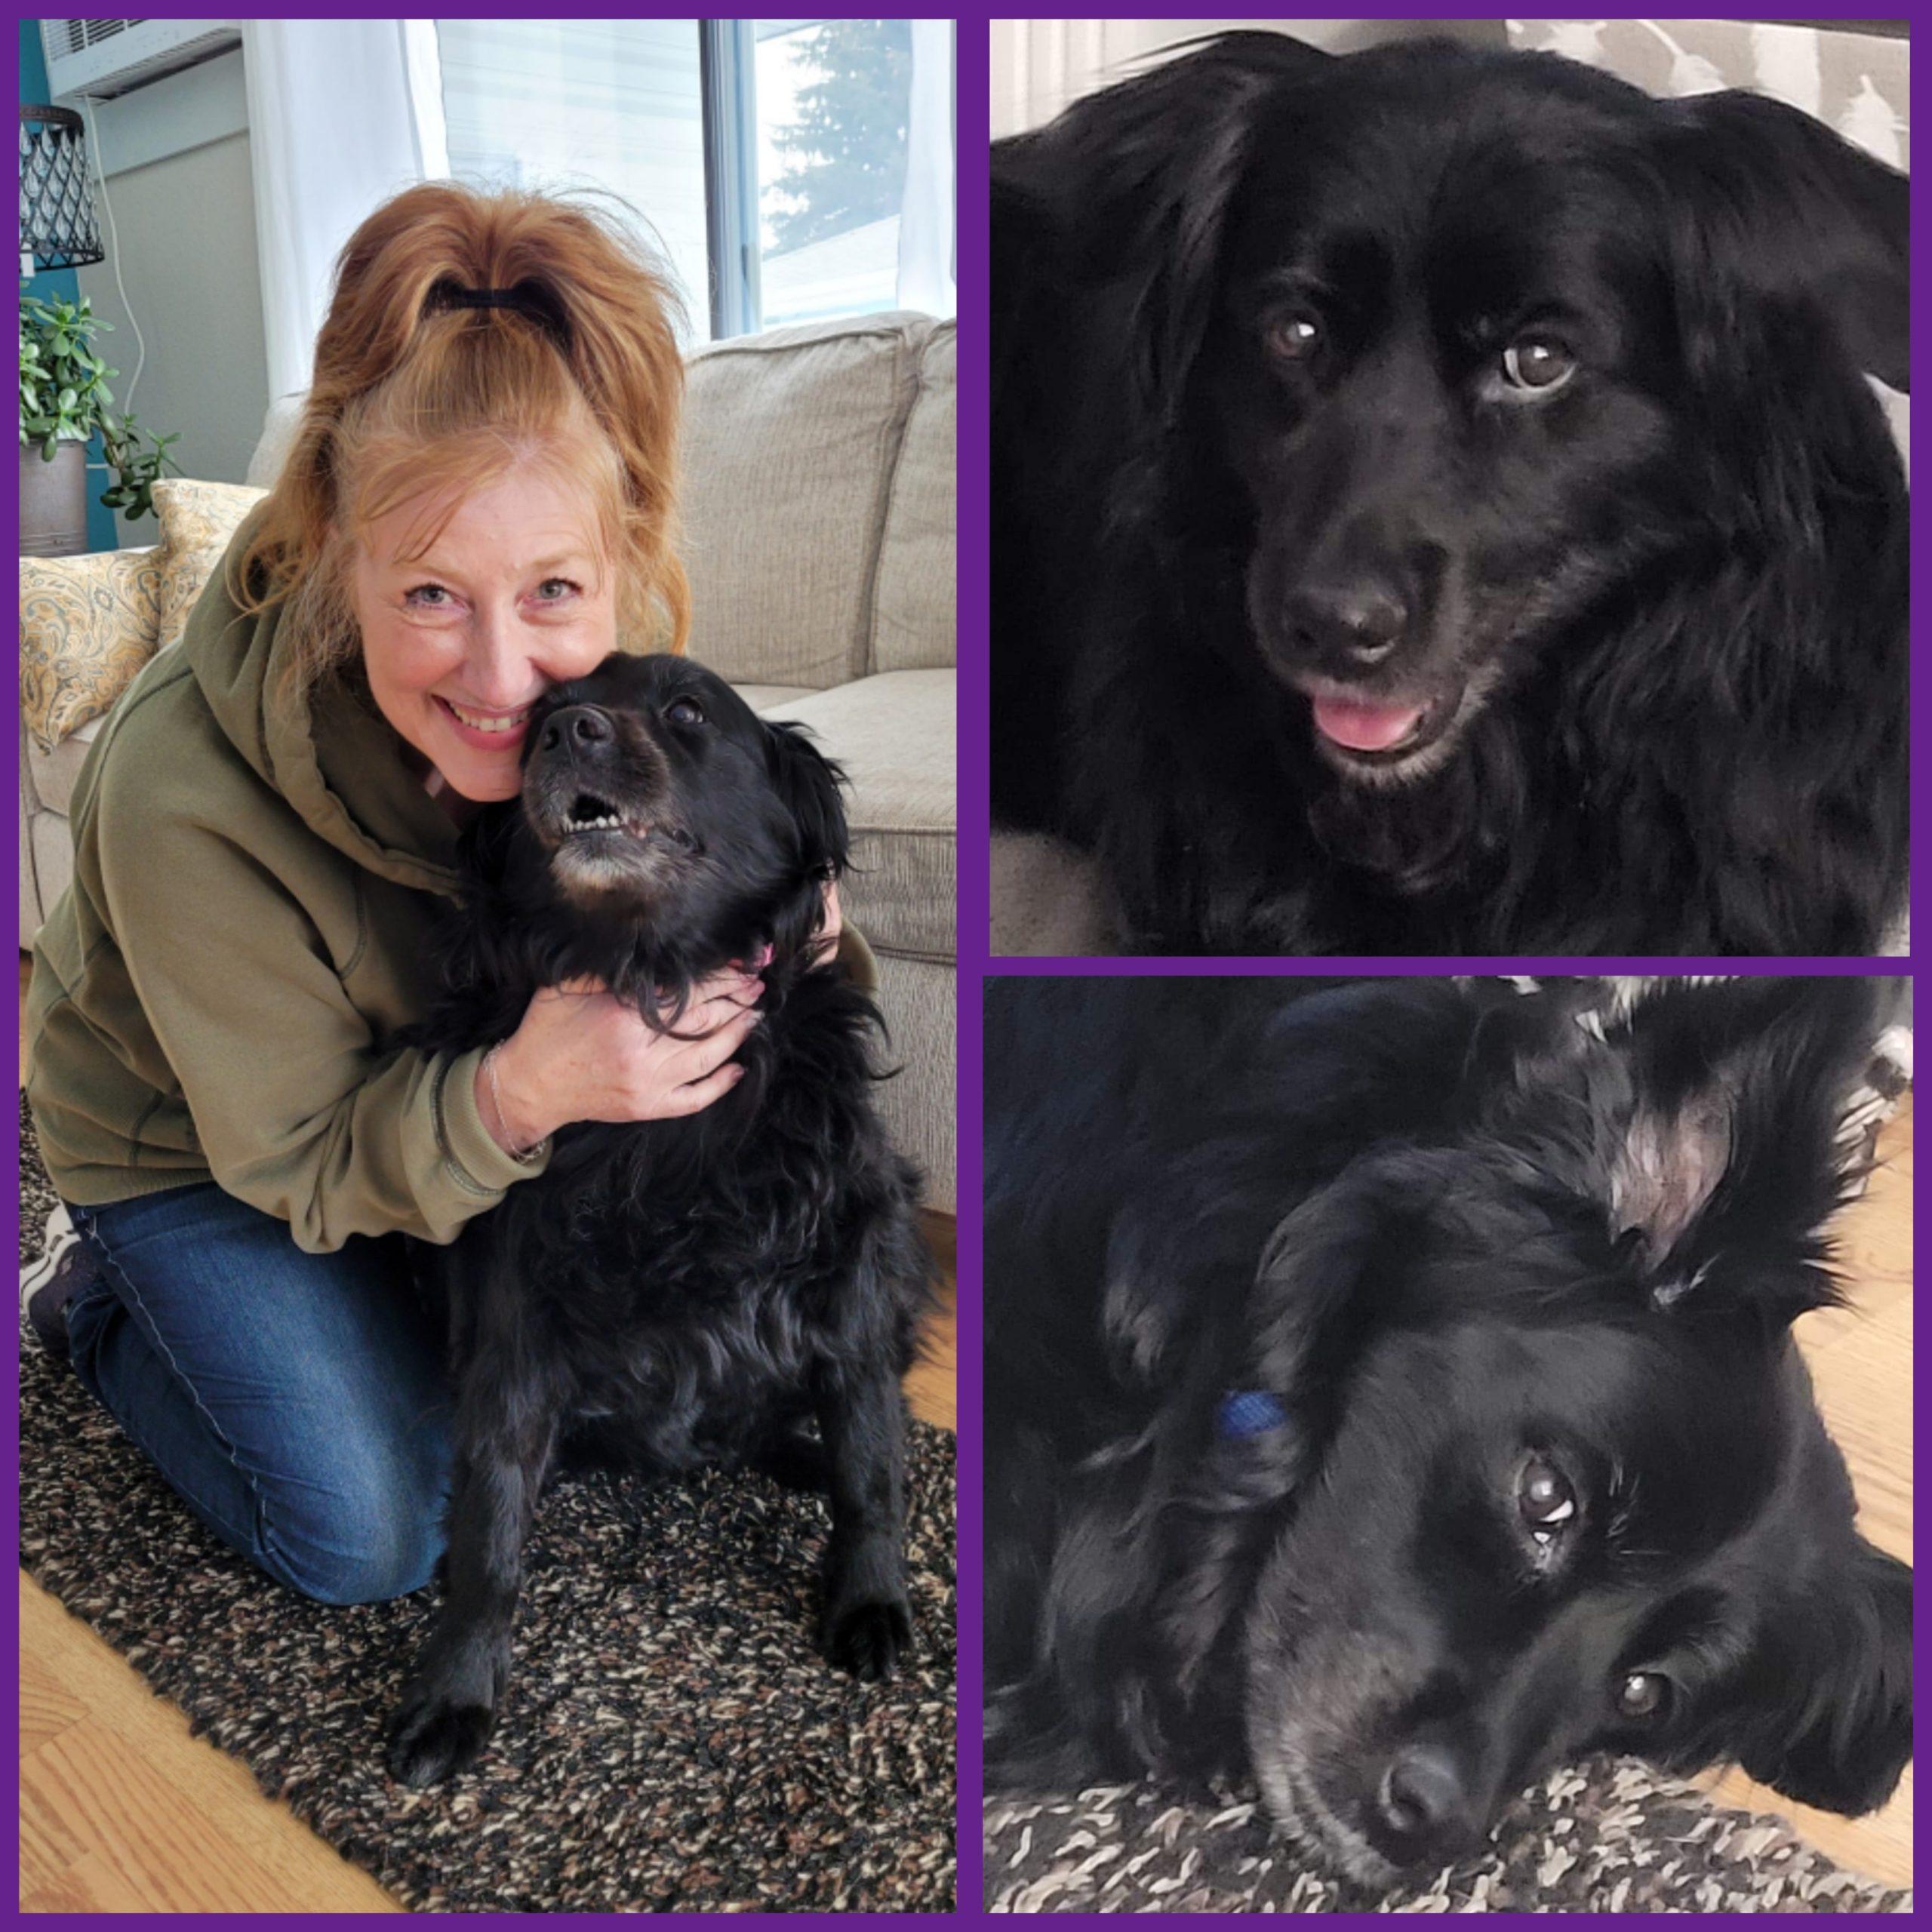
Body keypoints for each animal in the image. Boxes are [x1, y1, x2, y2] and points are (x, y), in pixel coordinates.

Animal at [384, 649, 927, 1777]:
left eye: (687, 712)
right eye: (539, 717)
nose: (569, 732)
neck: (650, 978)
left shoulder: (851, 1280)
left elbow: (871, 1464)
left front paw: (869, 1601)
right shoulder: (512, 1328)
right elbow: (489, 1530)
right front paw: (456, 1689)